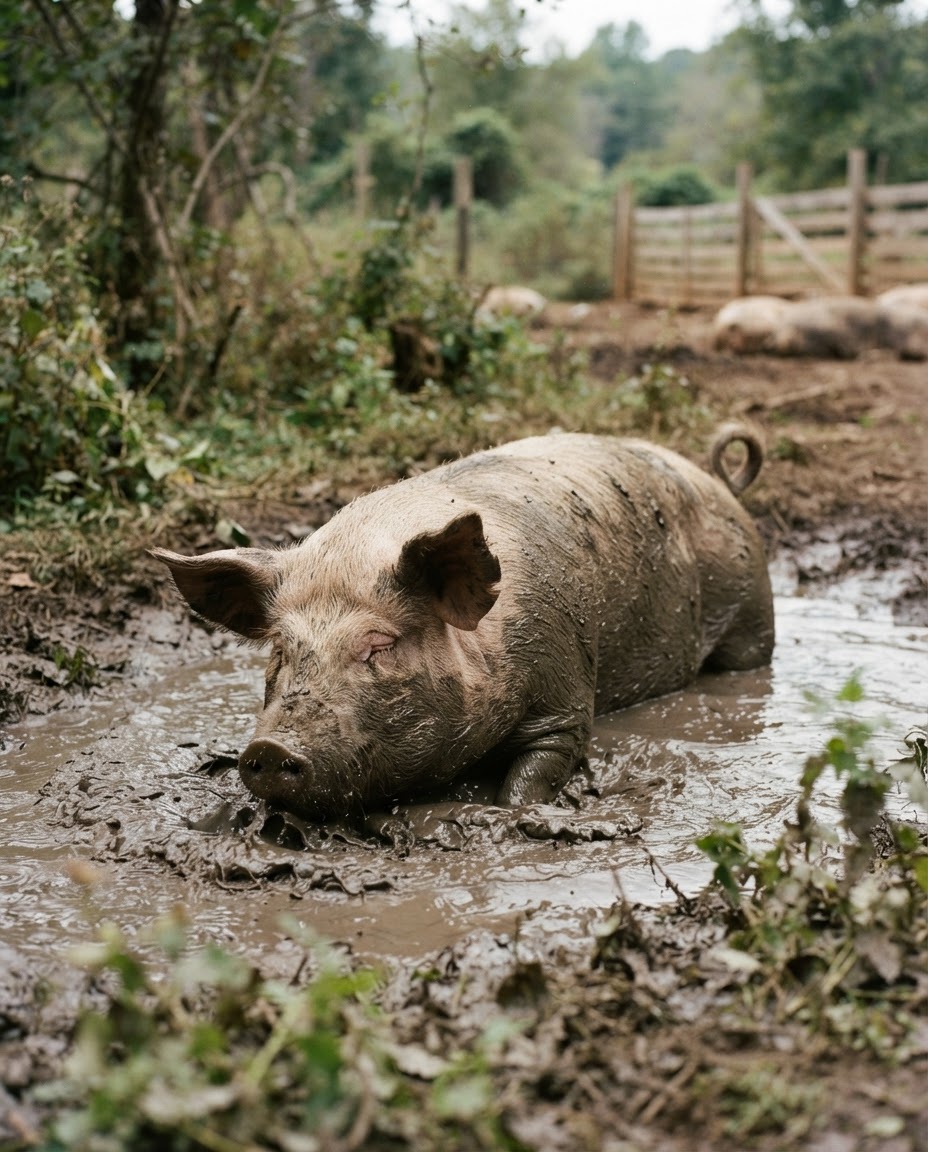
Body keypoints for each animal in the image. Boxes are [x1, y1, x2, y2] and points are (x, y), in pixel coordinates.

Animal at [153, 428, 774, 822]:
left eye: (379, 646)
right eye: (281, 649)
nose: (269, 747)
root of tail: (717, 481)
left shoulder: (568, 682)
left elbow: (546, 762)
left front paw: (513, 812)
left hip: (753, 613)